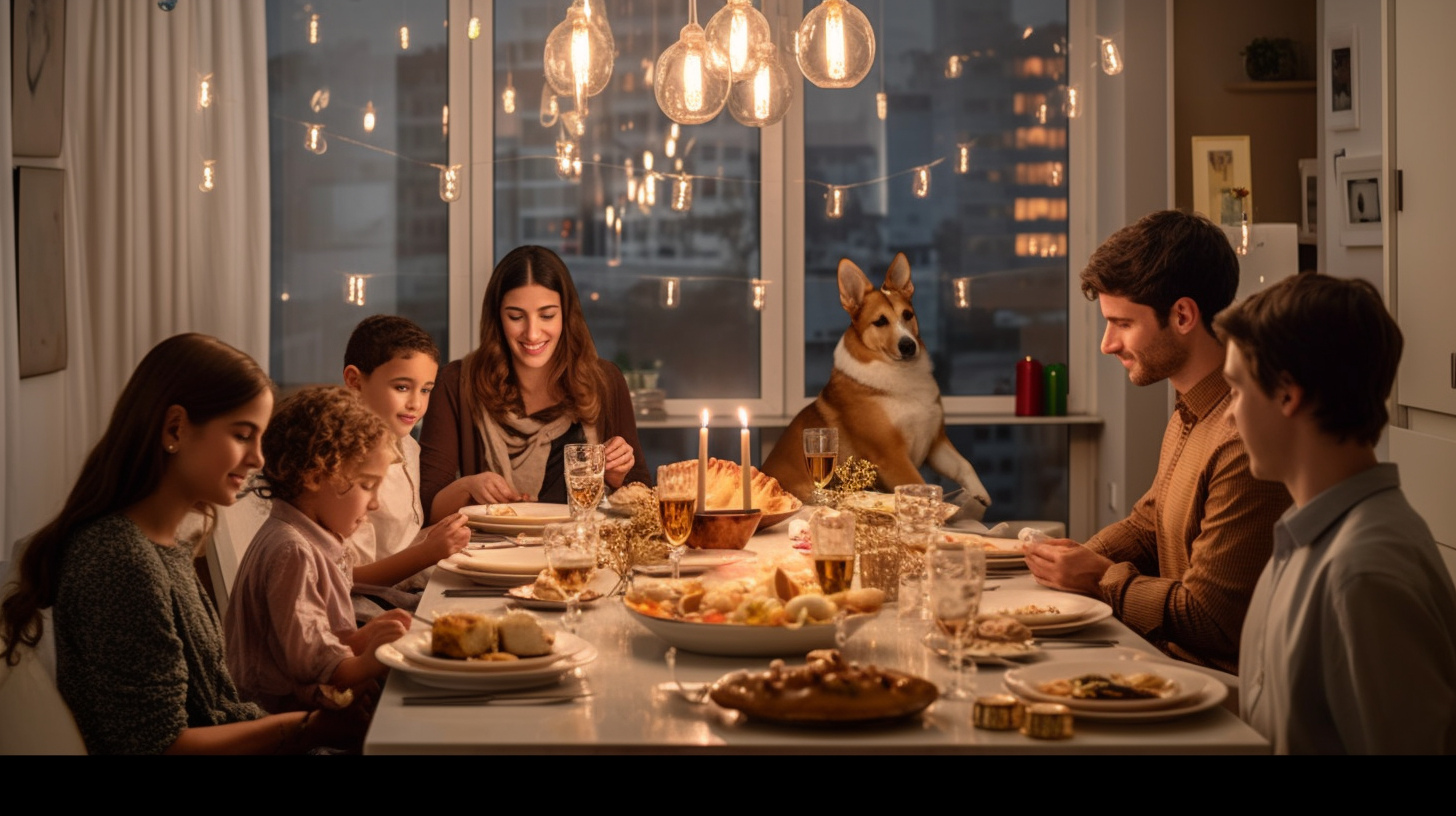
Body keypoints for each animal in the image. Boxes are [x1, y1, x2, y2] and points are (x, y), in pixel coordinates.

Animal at [762, 252, 990, 518]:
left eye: (908, 315)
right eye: (880, 322)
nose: (908, 346)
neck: (900, 378)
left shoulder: (936, 443)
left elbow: (964, 465)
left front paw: (979, 496)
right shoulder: (892, 457)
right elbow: (918, 485)